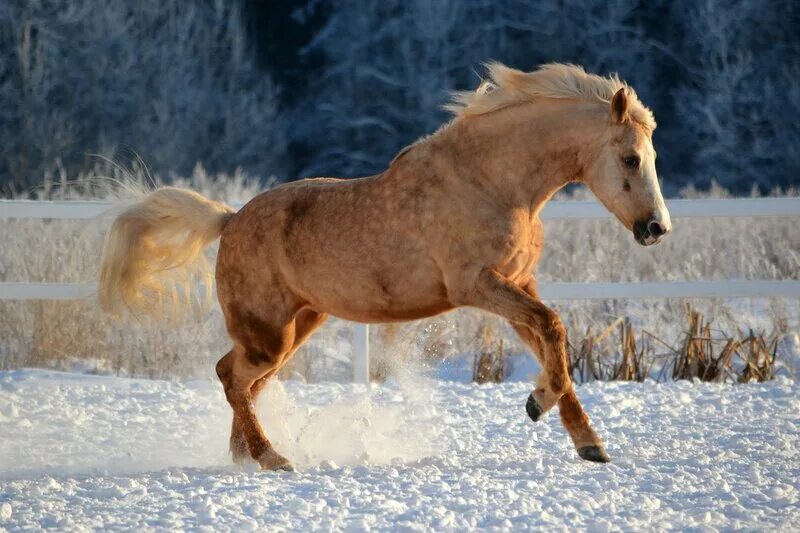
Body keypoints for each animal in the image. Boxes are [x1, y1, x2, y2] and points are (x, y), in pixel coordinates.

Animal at [101, 63, 676, 470]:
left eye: (653, 156)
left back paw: (246, 457)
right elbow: (553, 327)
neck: (493, 182)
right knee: (233, 378)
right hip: (270, 333)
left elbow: (551, 340)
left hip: (296, 325)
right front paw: (536, 404)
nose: (656, 228)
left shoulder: (518, 284)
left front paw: (590, 445)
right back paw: (272, 458)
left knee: (243, 382)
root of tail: (229, 219)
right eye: (630, 158)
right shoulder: (476, 285)